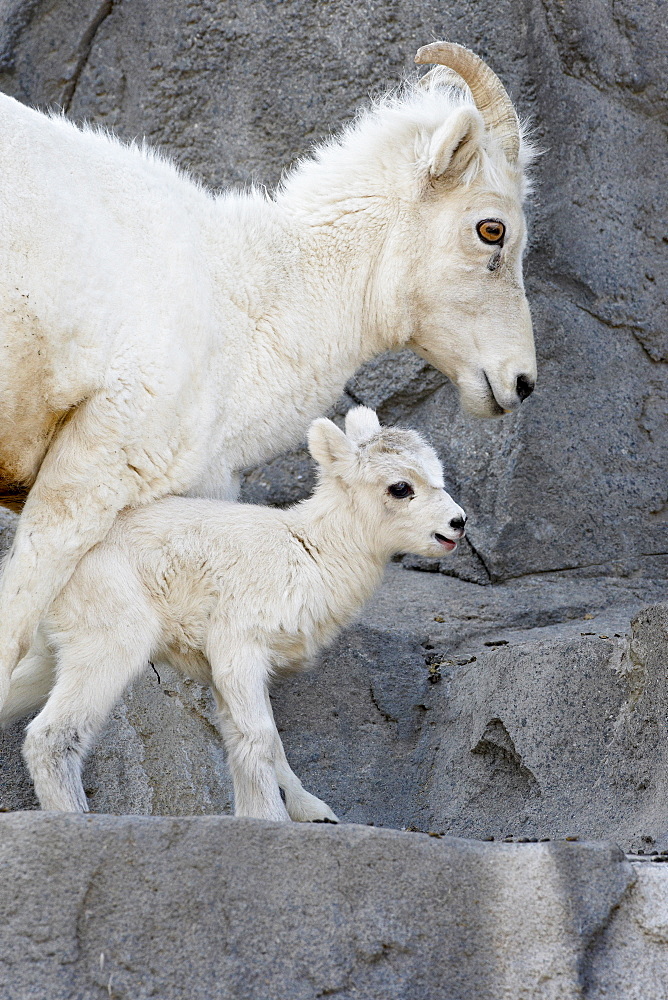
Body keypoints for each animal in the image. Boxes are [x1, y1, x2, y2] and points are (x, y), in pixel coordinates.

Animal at [3, 406, 464, 820]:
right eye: (400, 487)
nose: (458, 523)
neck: (309, 552)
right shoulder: (238, 648)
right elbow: (258, 738)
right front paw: (270, 820)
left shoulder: (228, 670)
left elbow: (261, 741)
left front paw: (311, 813)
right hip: (109, 644)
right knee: (51, 737)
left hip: (49, 653)